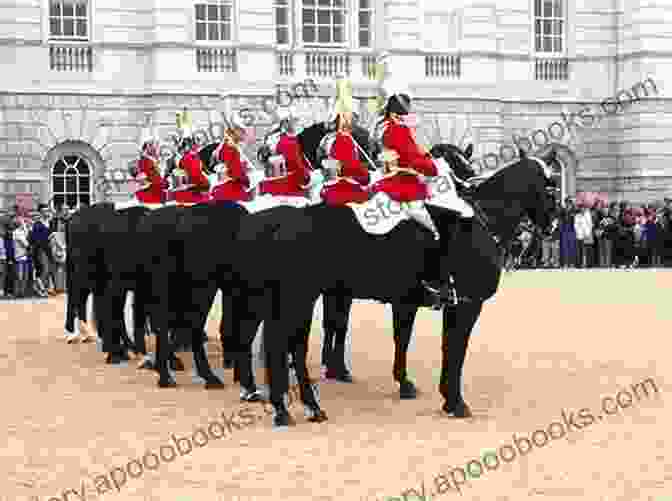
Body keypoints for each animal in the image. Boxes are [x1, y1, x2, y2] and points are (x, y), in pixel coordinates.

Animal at [242, 146, 556, 424]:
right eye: (551, 187)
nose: (551, 227)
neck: (483, 219)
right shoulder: (466, 304)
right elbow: (455, 351)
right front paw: (455, 402)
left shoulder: (427, 303)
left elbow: (427, 344)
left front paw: (438, 395)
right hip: (299, 296)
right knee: (287, 344)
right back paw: (295, 407)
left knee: (287, 344)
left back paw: (295, 406)